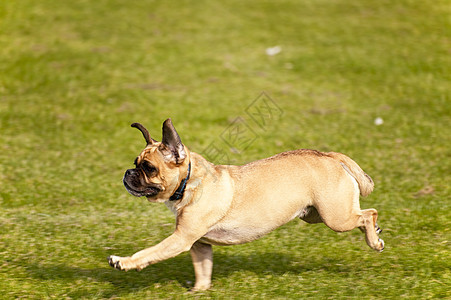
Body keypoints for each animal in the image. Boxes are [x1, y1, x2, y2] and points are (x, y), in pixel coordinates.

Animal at [107, 118, 384, 290]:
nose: (128, 173)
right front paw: (200, 291)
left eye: (148, 168)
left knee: (368, 213)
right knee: (362, 215)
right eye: (136, 163)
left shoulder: (180, 240)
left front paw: (124, 261)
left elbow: (148, 253)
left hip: (335, 217)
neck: (190, 182)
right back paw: (376, 234)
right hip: (314, 214)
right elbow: (203, 269)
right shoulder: (199, 245)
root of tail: (330, 156)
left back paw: (374, 241)